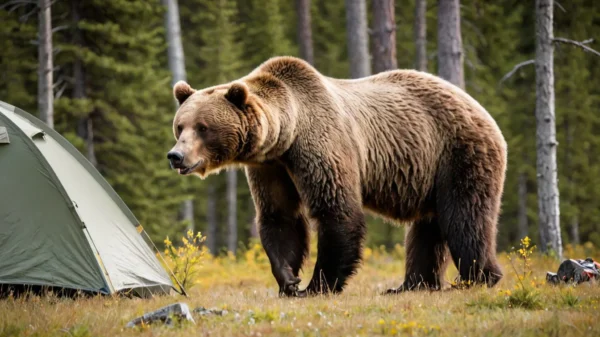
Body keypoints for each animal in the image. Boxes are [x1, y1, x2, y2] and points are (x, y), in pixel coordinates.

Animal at [168, 55, 506, 296]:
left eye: (203, 127)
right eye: (180, 126)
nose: (175, 156)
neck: (286, 135)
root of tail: (479, 107)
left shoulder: (320, 144)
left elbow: (336, 210)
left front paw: (317, 285)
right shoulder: (271, 167)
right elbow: (279, 216)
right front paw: (288, 279)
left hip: (458, 153)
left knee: (464, 217)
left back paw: (479, 278)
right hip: (428, 169)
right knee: (427, 226)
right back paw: (411, 284)